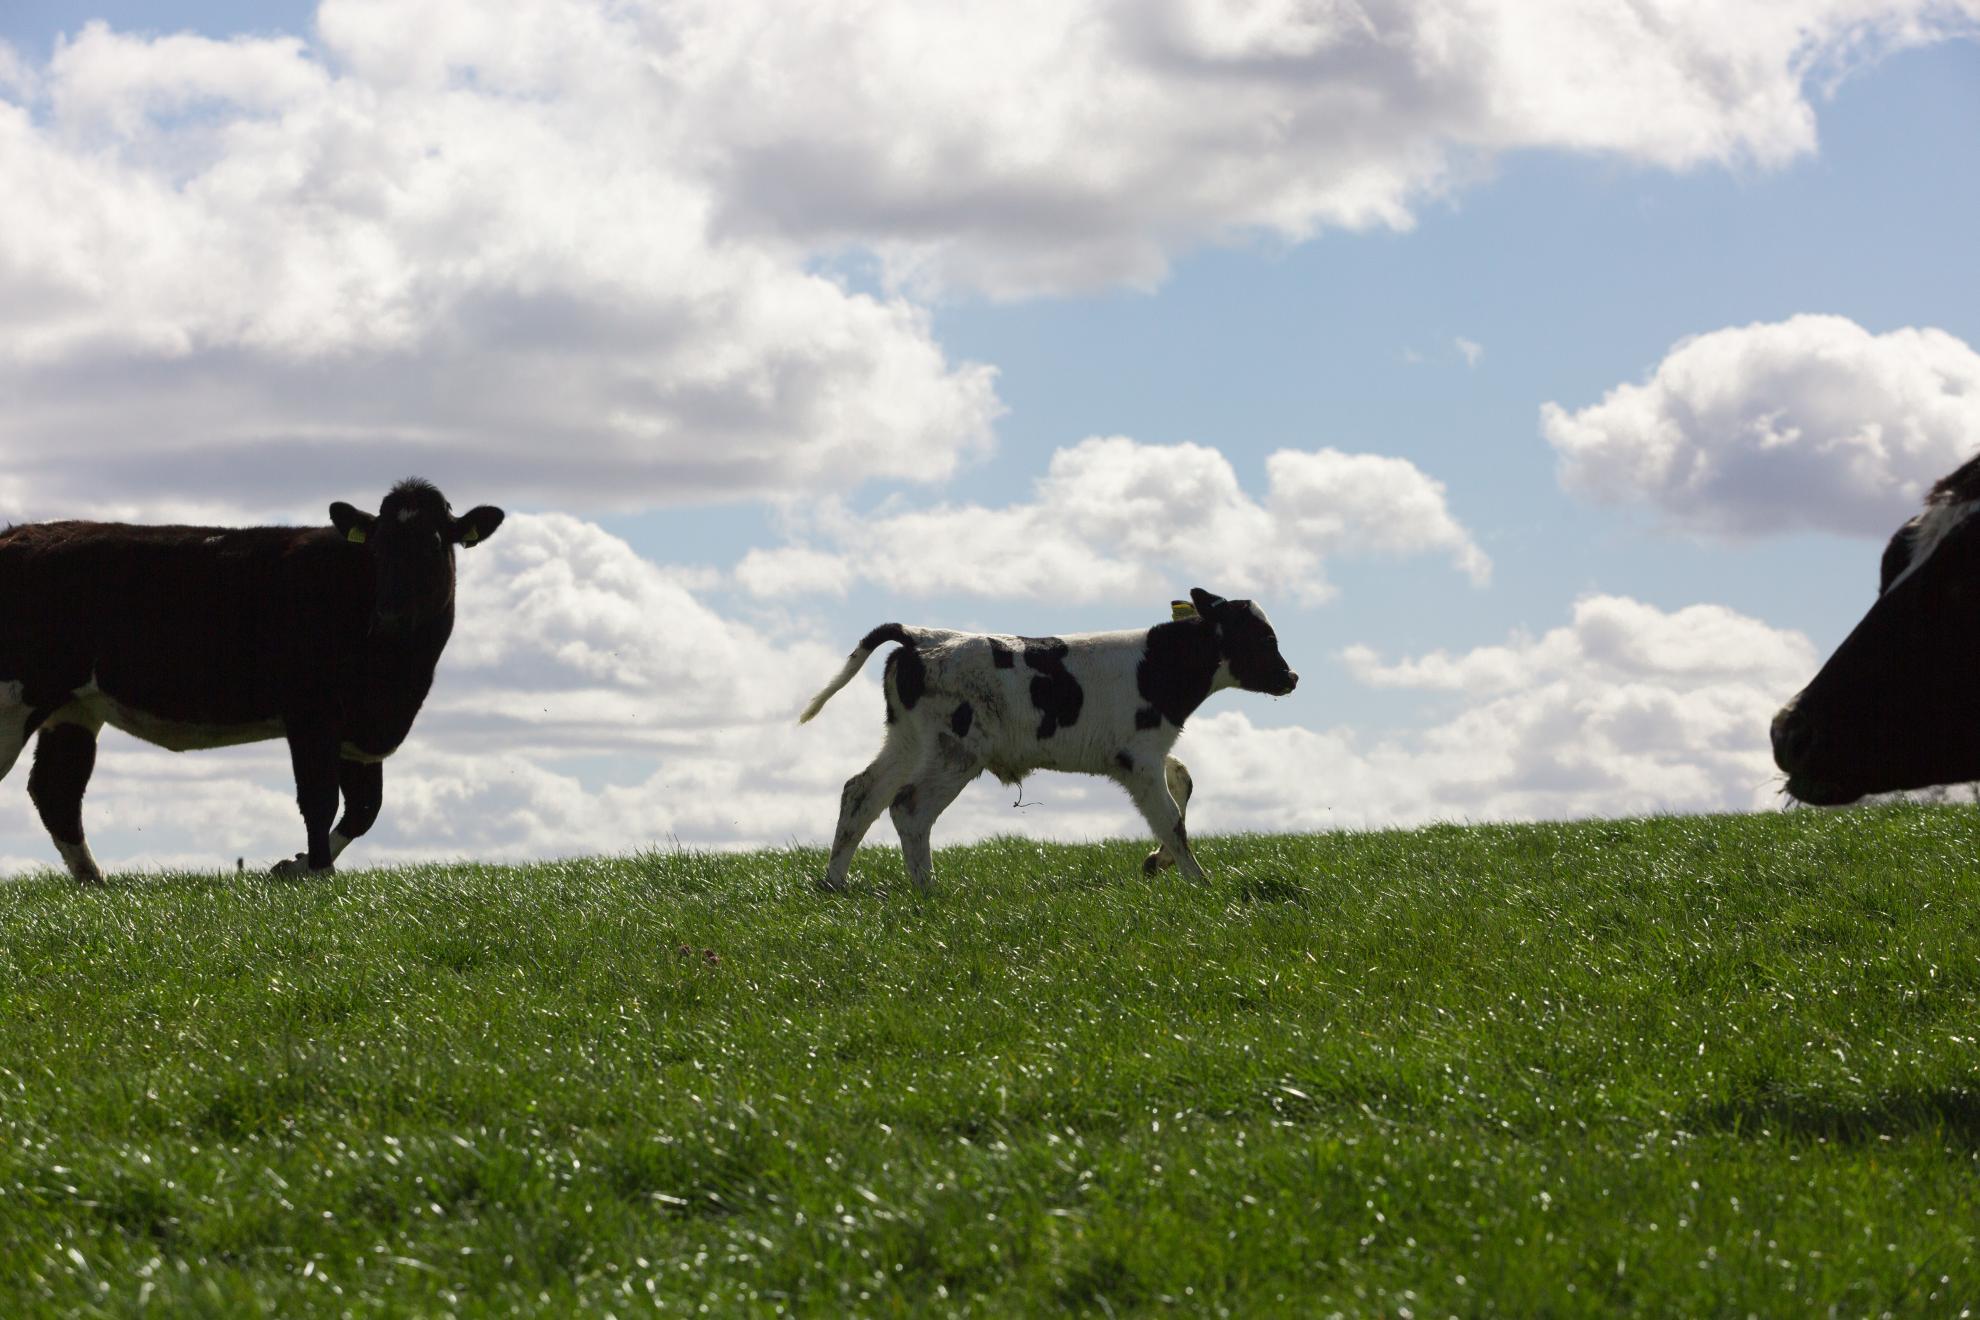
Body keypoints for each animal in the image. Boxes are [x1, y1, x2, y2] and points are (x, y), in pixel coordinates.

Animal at [0, 479, 504, 883]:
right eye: (376, 549)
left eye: (435, 544)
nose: (391, 618)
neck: (396, 683)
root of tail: (17, 532)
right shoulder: (311, 712)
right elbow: (320, 798)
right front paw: (317, 873)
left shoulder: (362, 730)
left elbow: (364, 808)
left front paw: (295, 866)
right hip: (16, 699)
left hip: (73, 706)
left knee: (56, 791)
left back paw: (93, 880)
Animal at [799, 588, 1298, 891]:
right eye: (1262, 637)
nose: (1291, 677)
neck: (1156, 665)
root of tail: (919, 636)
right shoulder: (1138, 758)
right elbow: (1171, 819)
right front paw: (1200, 883)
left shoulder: (1151, 753)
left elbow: (1184, 783)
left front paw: (1158, 863)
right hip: (955, 751)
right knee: (908, 807)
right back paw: (928, 890)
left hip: (907, 741)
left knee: (861, 793)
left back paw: (835, 883)